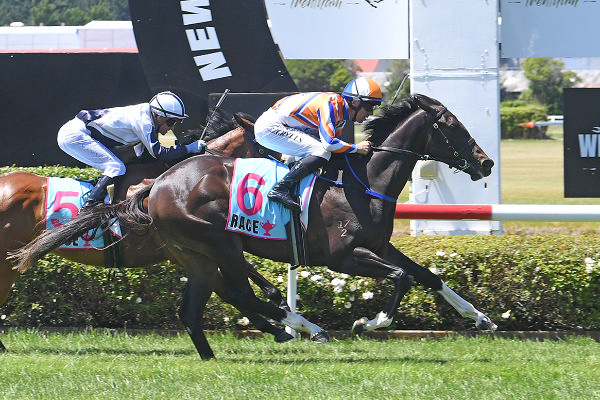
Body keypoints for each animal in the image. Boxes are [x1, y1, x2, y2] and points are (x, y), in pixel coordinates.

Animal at [14, 94, 500, 360]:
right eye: (454, 126)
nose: (487, 162)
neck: (362, 183)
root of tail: (158, 185)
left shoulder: (378, 246)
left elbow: (427, 276)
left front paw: (480, 317)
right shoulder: (344, 257)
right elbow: (401, 278)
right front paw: (370, 322)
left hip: (199, 251)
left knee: (213, 299)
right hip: (219, 244)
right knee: (240, 292)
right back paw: (302, 327)